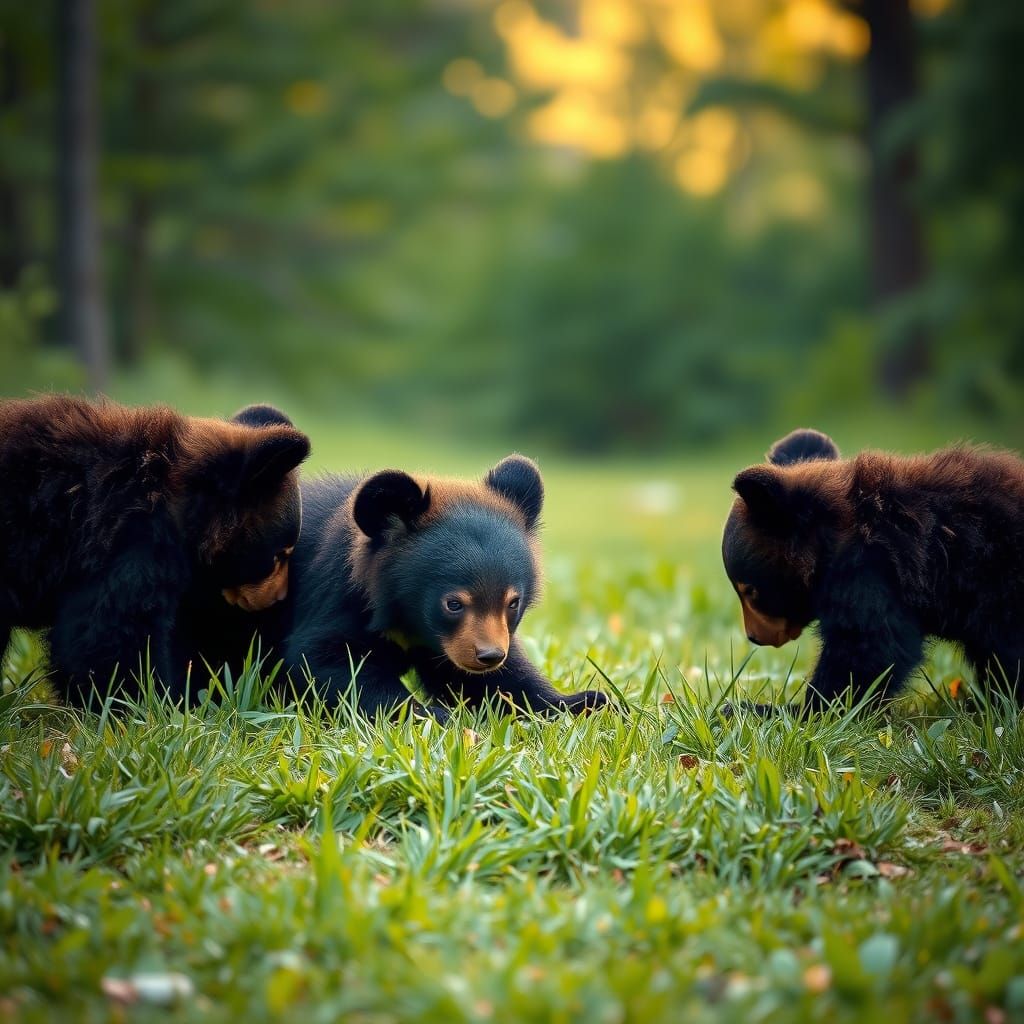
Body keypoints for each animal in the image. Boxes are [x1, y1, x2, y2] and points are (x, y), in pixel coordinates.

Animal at [201, 454, 609, 720]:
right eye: (453, 604)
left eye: (512, 602)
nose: (489, 656)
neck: (407, 620)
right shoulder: (334, 595)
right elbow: (326, 660)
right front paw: (435, 716)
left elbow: (503, 684)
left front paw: (589, 702)